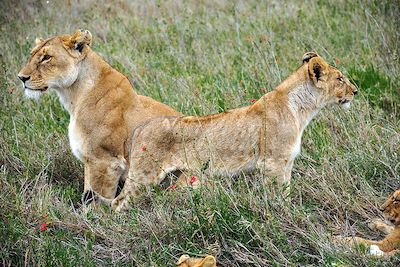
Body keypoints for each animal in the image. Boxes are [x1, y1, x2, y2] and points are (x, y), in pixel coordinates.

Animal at [18, 29, 179, 204]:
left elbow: (94, 199)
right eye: (31, 55)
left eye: (47, 57)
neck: (75, 96)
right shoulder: (89, 161)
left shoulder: (104, 161)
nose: (21, 77)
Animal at [111, 51, 358, 211]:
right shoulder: (273, 163)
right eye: (340, 79)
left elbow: (286, 192)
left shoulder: (286, 163)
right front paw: (282, 215)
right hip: (144, 175)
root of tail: (139, 129)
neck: (301, 109)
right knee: (117, 202)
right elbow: (277, 195)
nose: (356, 91)